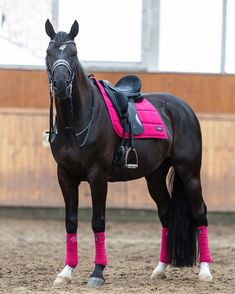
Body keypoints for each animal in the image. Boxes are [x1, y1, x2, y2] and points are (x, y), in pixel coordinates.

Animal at [45, 20, 212, 288]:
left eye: (74, 53)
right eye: (49, 53)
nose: (60, 85)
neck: (77, 122)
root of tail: (183, 108)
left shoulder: (97, 177)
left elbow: (98, 221)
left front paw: (97, 272)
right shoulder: (65, 176)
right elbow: (71, 221)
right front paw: (66, 271)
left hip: (190, 172)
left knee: (199, 213)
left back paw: (205, 271)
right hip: (155, 175)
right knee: (166, 213)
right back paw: (160, 268)